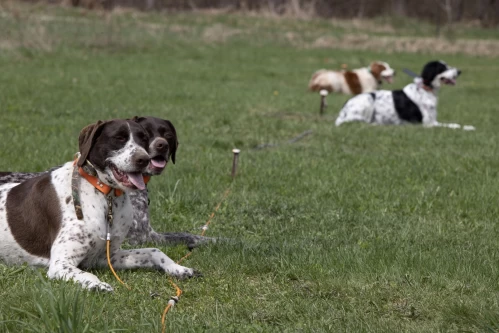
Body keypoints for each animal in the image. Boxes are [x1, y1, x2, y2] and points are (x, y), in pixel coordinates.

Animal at [0, 118, 196, 290]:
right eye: (119, 138)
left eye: (144, 139)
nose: (144, 159)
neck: (106, 197)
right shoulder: (61, 263)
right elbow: (88, 275)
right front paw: (98, 285)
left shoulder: (107, 257)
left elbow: (154, 251)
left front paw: (178, 268)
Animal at [336, 60, 476, 130]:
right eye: (444, 67)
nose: (459, 71)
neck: (426, 88)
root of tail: (342, 112)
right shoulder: (428, 123)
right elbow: (453, 125)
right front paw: (467, 127)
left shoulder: (432, 120)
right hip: (368, 99)